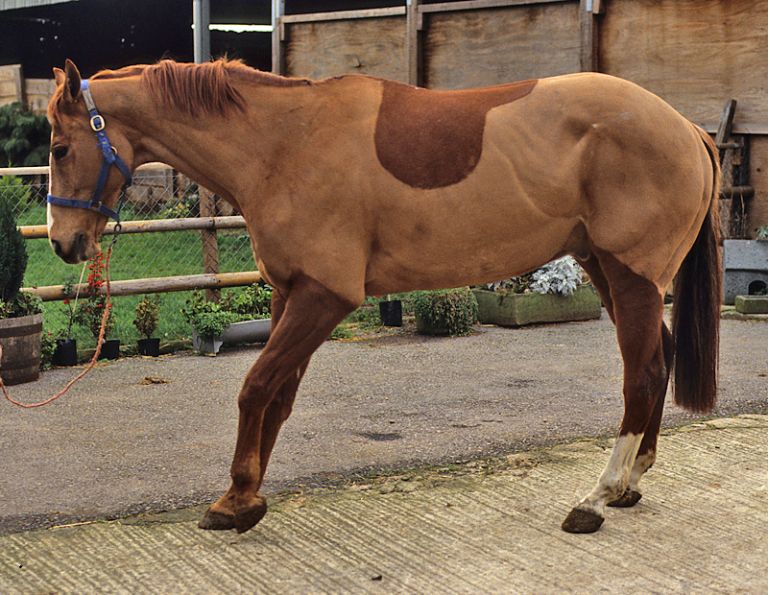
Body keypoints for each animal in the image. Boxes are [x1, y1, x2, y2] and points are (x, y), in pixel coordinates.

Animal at [45, 58, 721, 535]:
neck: (284, 143)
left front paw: (235, 500)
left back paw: (597, 498)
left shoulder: (323, 297)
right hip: (605, 268)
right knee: (656, 359)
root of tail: (687, 128)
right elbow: (277, 397)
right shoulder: (289, 294)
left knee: (643, 373)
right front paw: (247, 494)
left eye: (57, 147)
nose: (63, 242)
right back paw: (630, 483)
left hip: (630, 275)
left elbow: (256, 388)